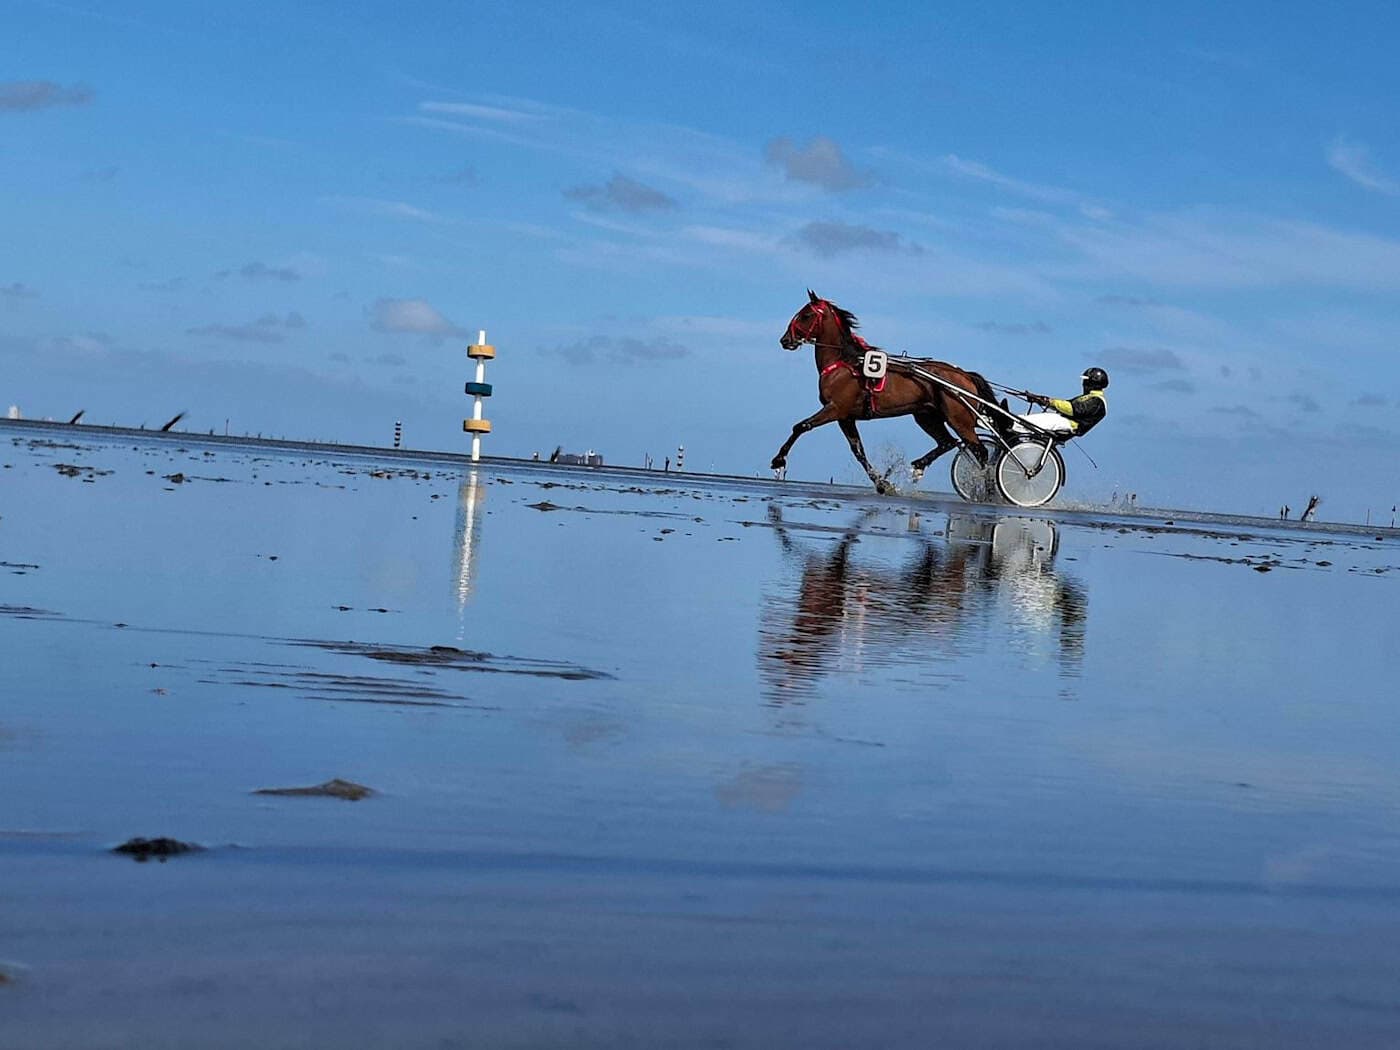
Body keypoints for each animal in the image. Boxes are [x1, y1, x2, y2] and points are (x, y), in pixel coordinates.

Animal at [773, 291, 1015, 493]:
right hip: (926, 416)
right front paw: (883, 483)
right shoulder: (846, 417)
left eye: (805, 315)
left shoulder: (835, 409)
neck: (844, 363)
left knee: (980, 451)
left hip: (960, 420)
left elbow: (801, 426)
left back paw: (985, 489)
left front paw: (778, 460)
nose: (785, 340)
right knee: (947, 442)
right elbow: (858, 451)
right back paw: (919, 466)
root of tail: (964, 375)